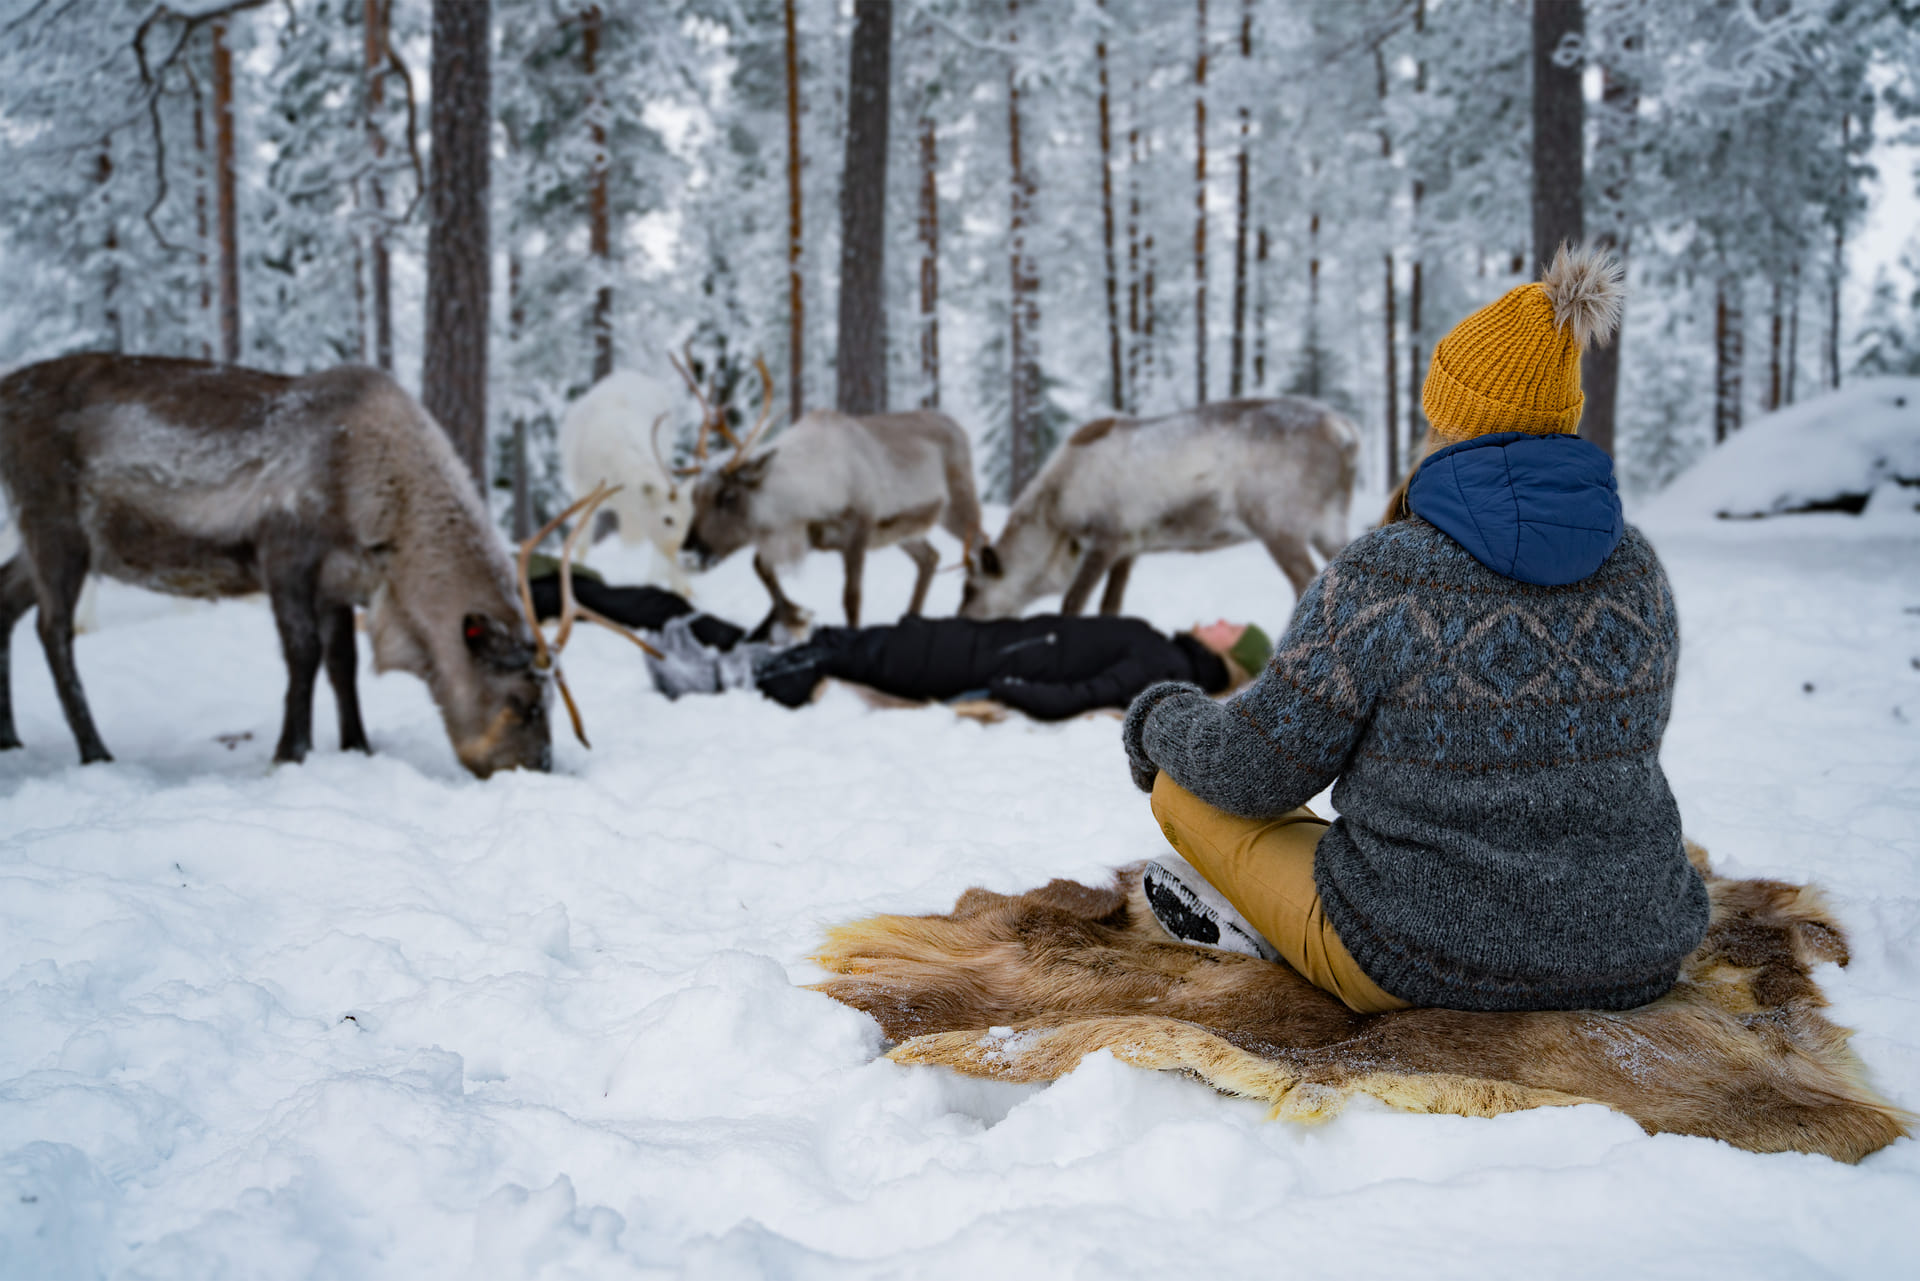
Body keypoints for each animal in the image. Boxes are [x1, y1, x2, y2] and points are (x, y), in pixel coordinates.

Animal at [0, 352, 555, 777]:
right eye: (520, 703)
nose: (541, 767)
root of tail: (6, 389)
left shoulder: (337, 578)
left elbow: (344, 663)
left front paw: (357, 746)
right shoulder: (285, 554)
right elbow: (303, 654)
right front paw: (291, 752)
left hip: (49, 543)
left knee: (6, 602)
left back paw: (9, 737)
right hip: (56, 524)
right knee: (53, 630)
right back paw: (95, 751)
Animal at [676, 361, 983, 638]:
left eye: (728, 496)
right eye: (694, 497)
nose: (689, 553)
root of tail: (959, 427)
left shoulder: (859, 529)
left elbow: (851, 597)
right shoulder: (809, 534)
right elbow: (760, 566)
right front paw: (793, 615)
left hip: (959, 505)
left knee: (981, 544)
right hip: (902, 530)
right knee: (930, 557)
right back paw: (910, 616)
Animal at [959, 397, 1359, 620]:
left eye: (971, 589)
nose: (961, 617)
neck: (1055, 517)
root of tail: (1342, 431)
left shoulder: (1105, 538)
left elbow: (1072, 603)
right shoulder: (1129, 547)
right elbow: (1110, 608)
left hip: (1278, 524)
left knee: (1305, 584)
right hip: (1330, 522)